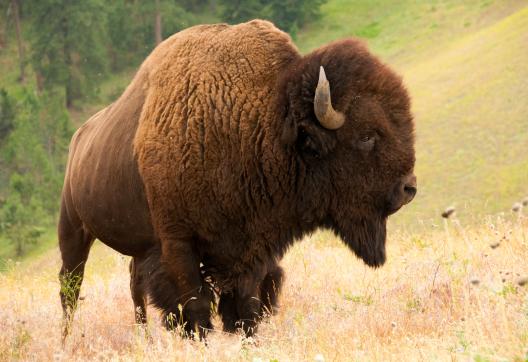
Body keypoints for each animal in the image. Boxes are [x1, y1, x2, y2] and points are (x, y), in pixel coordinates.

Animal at [58, 20, 416, 340]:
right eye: (366, 135)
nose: (408, 188)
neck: (256, 121)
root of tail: (78, 137)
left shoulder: (252, 247)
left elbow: (246, 304)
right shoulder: (178, 243)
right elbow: (195, 306)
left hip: (137, 244)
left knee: (134, 285)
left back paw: (142, 337)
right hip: (74, 229)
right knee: (70, 287)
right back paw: (67, 339)